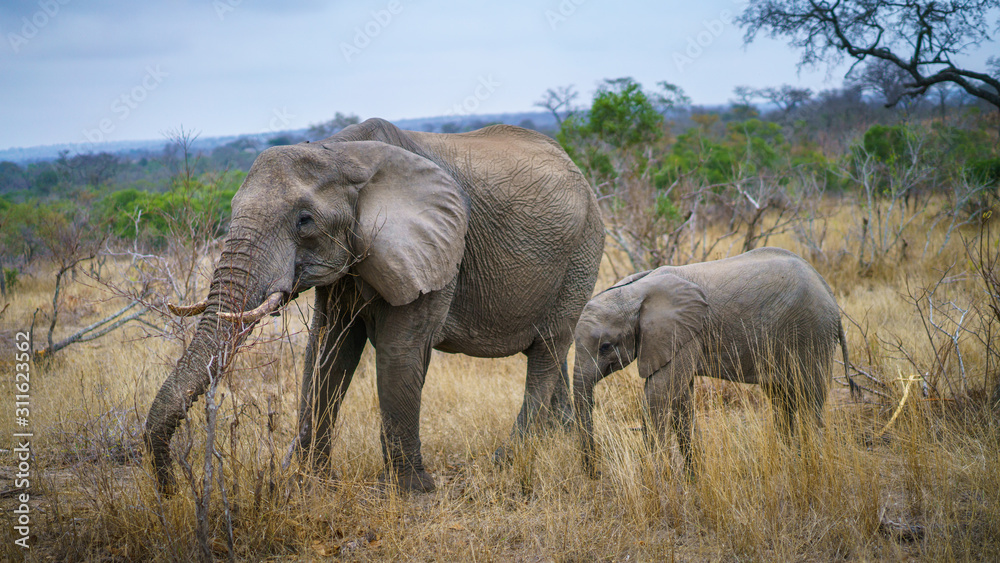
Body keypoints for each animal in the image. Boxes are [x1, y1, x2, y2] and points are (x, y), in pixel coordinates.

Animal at [146, 118, 600, 494]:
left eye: (304, 221)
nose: (171, 490)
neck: (343, 153)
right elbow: (326, 351)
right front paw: (311, 484)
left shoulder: (437, 253)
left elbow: (399, 354)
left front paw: (412, 492)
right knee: (546, 350)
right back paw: (557, 438)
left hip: (582, 252)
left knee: (547, 349)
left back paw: (507, 460)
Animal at [576, 247, 856, 476]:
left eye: (605, 347)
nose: (596, 474)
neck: (634, 291)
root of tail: (830, 294)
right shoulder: (683, 338)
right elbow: (681, 401)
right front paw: (695, 480)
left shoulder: (684, 334)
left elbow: (658, 396)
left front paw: (656, 481)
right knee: (781, 398)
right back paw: (788, 461)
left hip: (813, 332)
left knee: (809, 398)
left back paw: (813, 466)